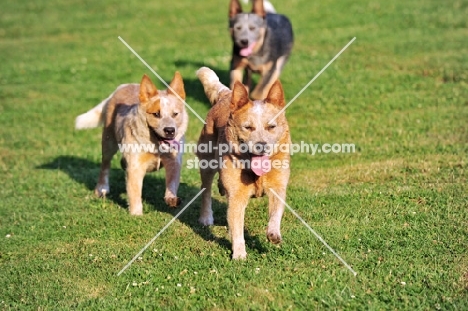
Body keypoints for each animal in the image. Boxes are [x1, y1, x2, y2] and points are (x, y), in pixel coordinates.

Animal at [75, 73, 188, 216]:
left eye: (175, 114)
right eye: (156, 114)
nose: (170, 130)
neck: (156, 146)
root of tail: (122, 87)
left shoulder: (174, 160)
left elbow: (172, 181)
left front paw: (171, 199)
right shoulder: (135, 166)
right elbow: (134, 193)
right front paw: (136, 215)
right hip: (108, 142)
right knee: (105, 165)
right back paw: (101, 188)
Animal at [196, 67, 290, 260]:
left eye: (271, 127)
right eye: (248, 127)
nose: (261, 145)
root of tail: (226, 94)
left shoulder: (278, 186)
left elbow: (276, 212)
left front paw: (273, 233)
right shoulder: (237, 197)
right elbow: (237, 226)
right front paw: (239, 254)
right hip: (206, 160)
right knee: (206, 189)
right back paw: (206, 217)